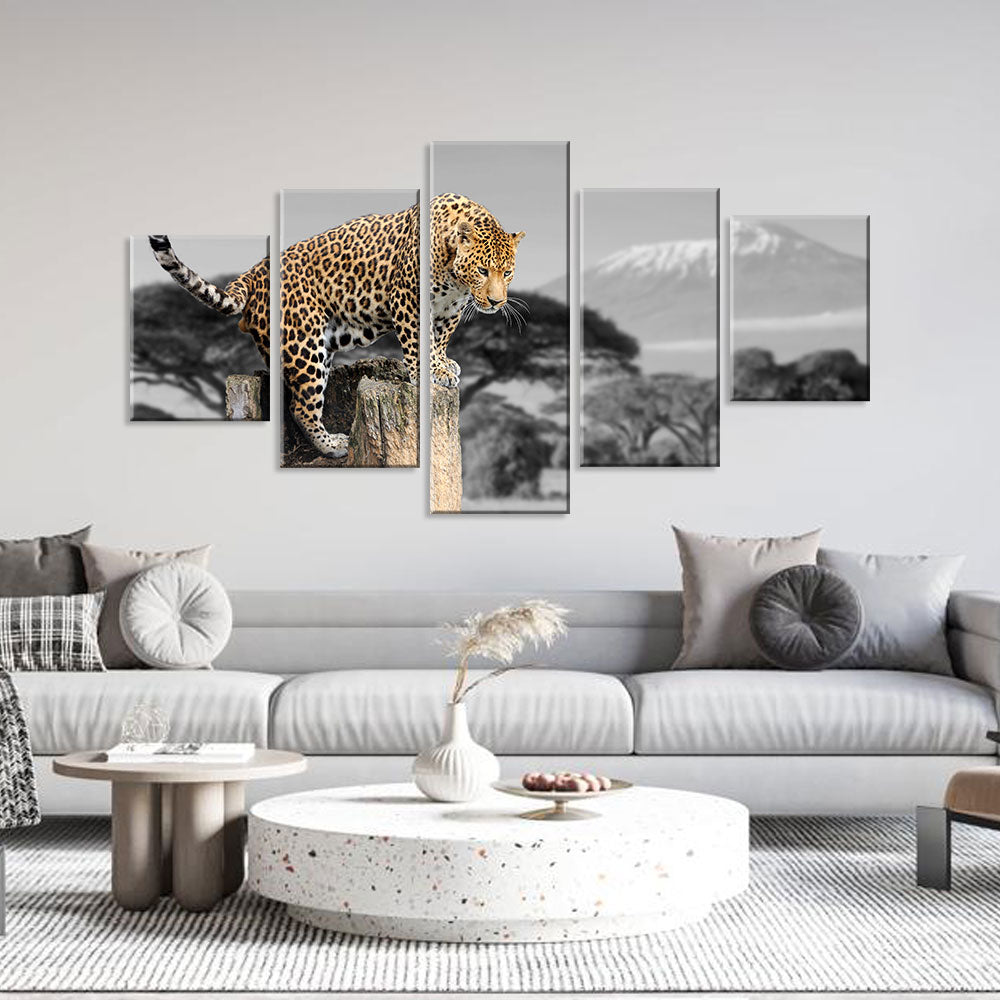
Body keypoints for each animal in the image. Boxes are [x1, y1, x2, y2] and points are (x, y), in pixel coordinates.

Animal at [147, 193, 523, 457]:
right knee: (300, 406)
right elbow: (419, 340)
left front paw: (443, 365)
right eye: (483, 270)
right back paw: (332, 446)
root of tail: (253, 272)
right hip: (305, 346)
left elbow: (440, 339)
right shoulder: (407, 299)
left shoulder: (450, 309)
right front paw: (426, 373)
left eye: (507, 272)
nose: (496, 302)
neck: (455, 276)